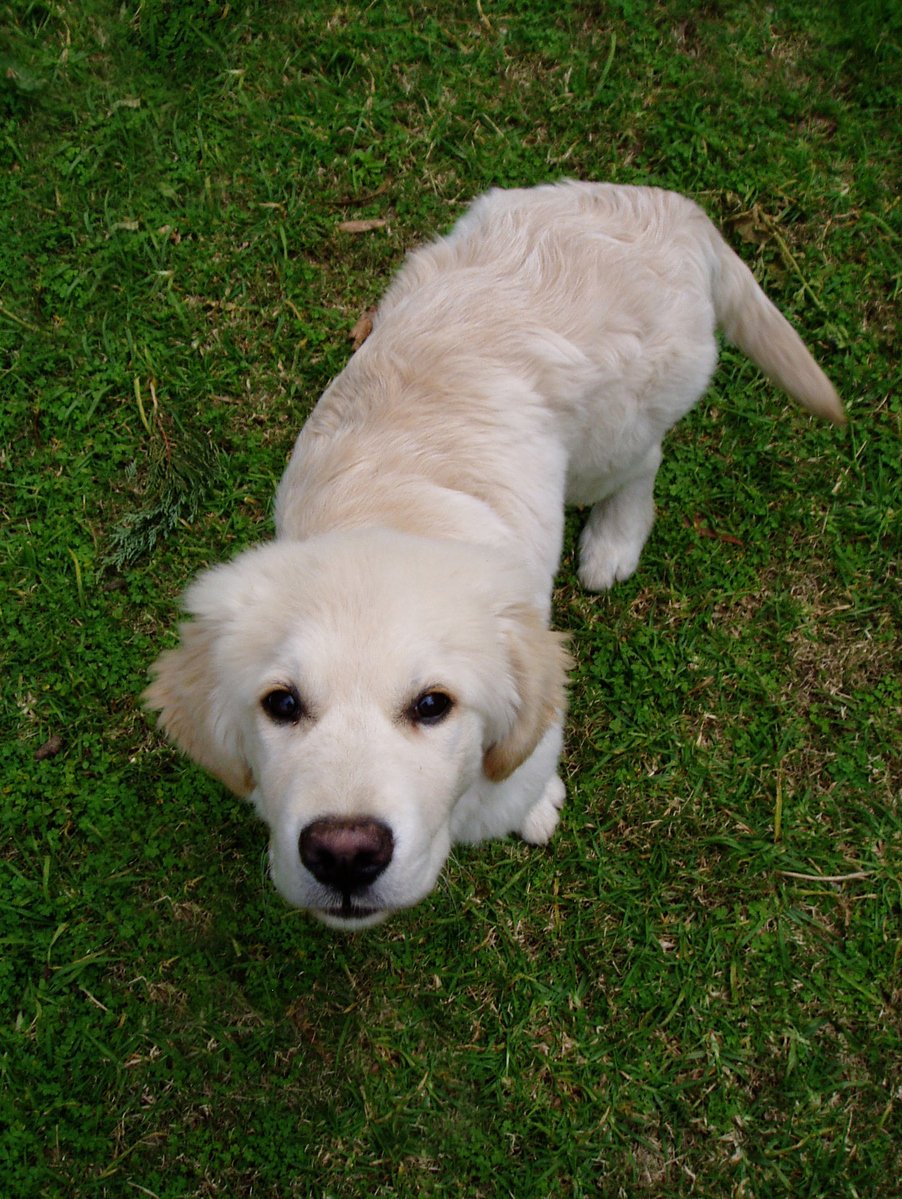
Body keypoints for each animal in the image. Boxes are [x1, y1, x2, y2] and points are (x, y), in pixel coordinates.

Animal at [144, 179, 844, 925]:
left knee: (643, 462)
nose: (343, 853)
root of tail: (664, 205)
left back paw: (614, 539)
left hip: (609, 437)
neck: (382, 519)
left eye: (433, 705)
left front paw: (536, 808)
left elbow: (521, 775)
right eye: (281, 704)